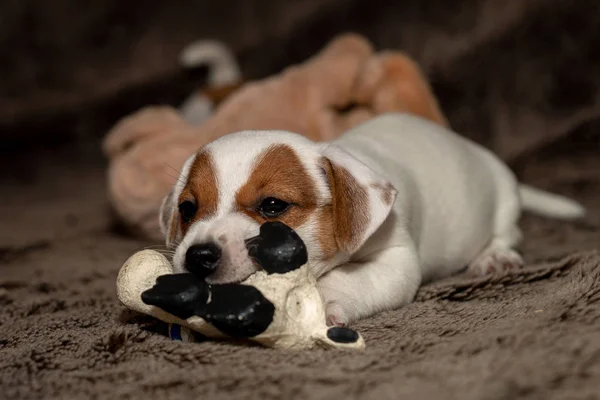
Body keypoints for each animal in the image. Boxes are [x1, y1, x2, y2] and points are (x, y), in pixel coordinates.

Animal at [161, 114, 584, 326]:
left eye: (272, 205)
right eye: (188, 209)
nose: (198, 256)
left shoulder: (396, 261)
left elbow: (348, 280)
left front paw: (326, 300)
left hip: (503, 203)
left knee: (506, 233)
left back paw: (495, 257)